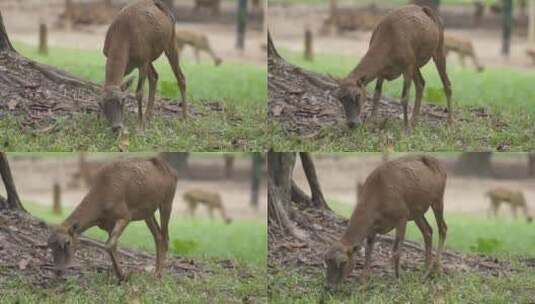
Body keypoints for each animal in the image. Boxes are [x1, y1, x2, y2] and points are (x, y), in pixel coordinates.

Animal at [48, 158, 178, 282]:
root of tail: (173, 172)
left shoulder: (125, 215)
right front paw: (121, 276)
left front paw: (124, 275)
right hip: (148, 212)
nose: (58, 270)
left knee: (165, 237)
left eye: (67, 242)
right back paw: (155, 272)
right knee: (158, 236)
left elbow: (108, 245)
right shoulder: (107, 225)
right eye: (50, 245)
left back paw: (159, 275)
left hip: (167, 200)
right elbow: (112, 245)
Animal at [101, 0, 187, 132]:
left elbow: (139, 92)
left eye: (123, 100)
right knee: (155, 76)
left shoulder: (142, 61)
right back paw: (148, 115)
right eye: (101, 104)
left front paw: (139, 125)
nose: (117, 127)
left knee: (181, 77)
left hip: (170, 41)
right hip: (150, 54)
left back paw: (184, 118)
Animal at [326, 156, 448, 290]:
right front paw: (363, 281)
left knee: (443, 228)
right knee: (428, 231)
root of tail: (441, 167)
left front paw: (397, 279)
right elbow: (368, 251)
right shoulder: (372, 228)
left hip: (438, 199)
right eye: (326, 260)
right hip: (417, 211)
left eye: (343, 262)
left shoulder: (402, 216)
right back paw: (426, 271)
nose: (329, 287)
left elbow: (396, 251)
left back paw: (435, 270)